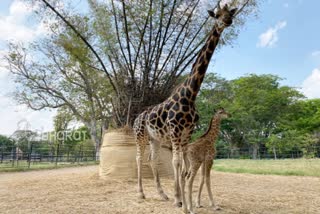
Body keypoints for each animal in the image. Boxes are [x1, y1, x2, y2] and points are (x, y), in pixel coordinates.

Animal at [133, 2, 238, 207]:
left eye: (230, 13)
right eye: (217, 15)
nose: (227, 21)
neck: (190, 94)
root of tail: (135, 118)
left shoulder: (188, 133)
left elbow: (184, 163)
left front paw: (182, 198)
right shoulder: (175, 131)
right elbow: (176, 162)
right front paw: (178, 199)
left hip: (154, 139)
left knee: (152, 159)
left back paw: (162, 194)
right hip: (140, 136)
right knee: (139, 158)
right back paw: (141, 193)